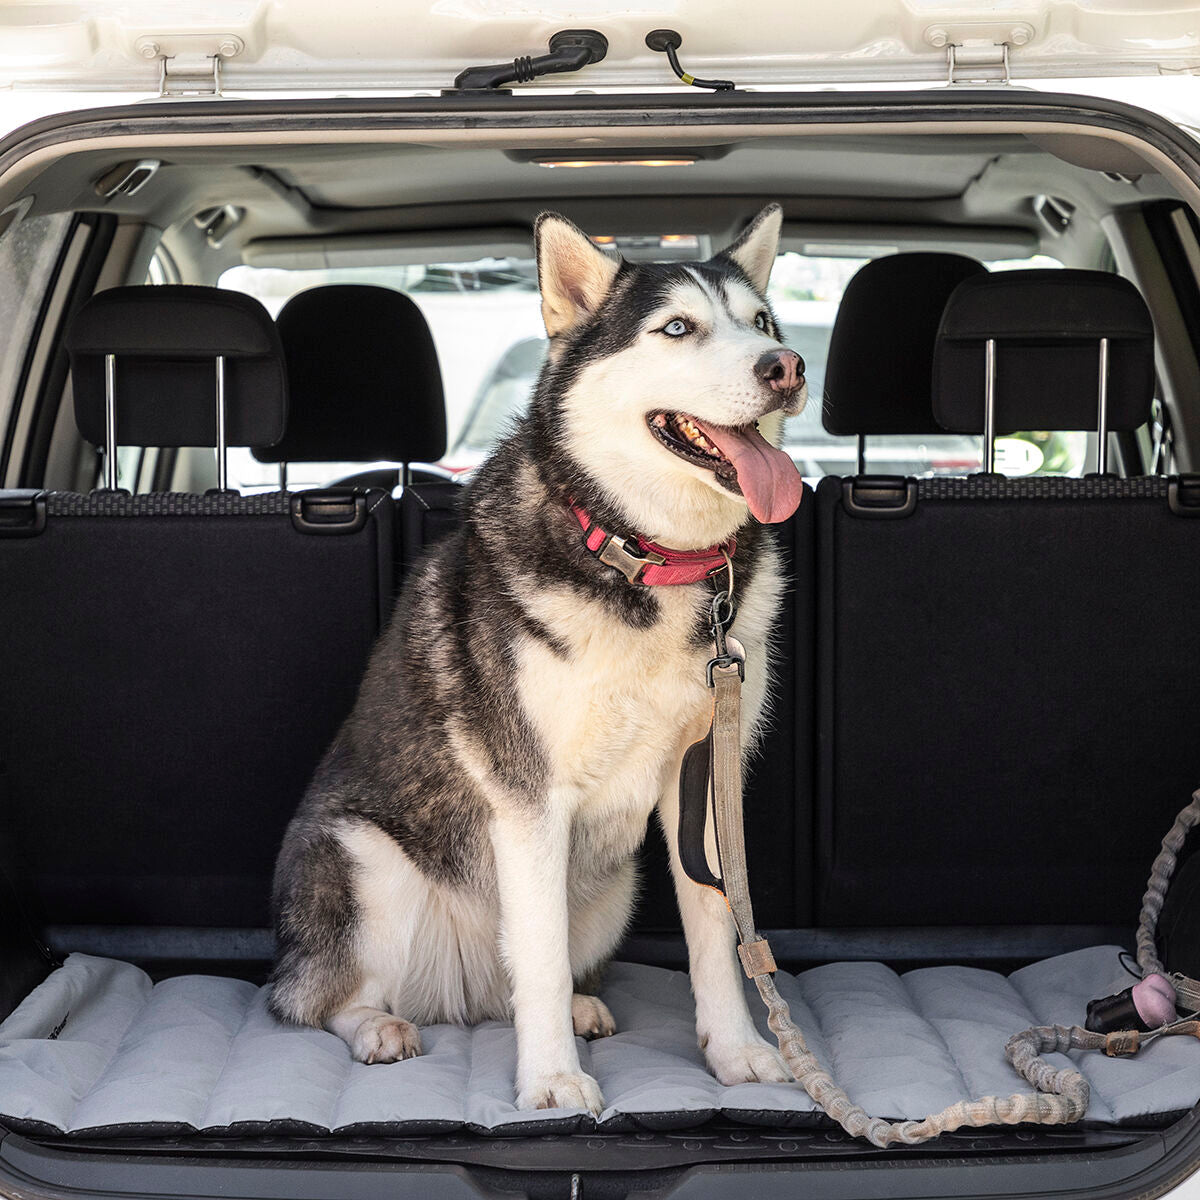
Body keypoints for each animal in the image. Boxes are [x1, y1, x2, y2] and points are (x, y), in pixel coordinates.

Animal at [272, 201, 806, 1108]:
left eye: (762, 322)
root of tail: (464, 987)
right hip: (366, 863)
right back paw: (379, 1026)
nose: (787, 366)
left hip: (612, 885)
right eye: (677, 328)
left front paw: (735, 1053)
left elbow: (715, 932)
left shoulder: (701, 784)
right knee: (320, 997)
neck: (652, 559)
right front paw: (553, 1082)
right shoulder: (529, 797)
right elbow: (544, 962)